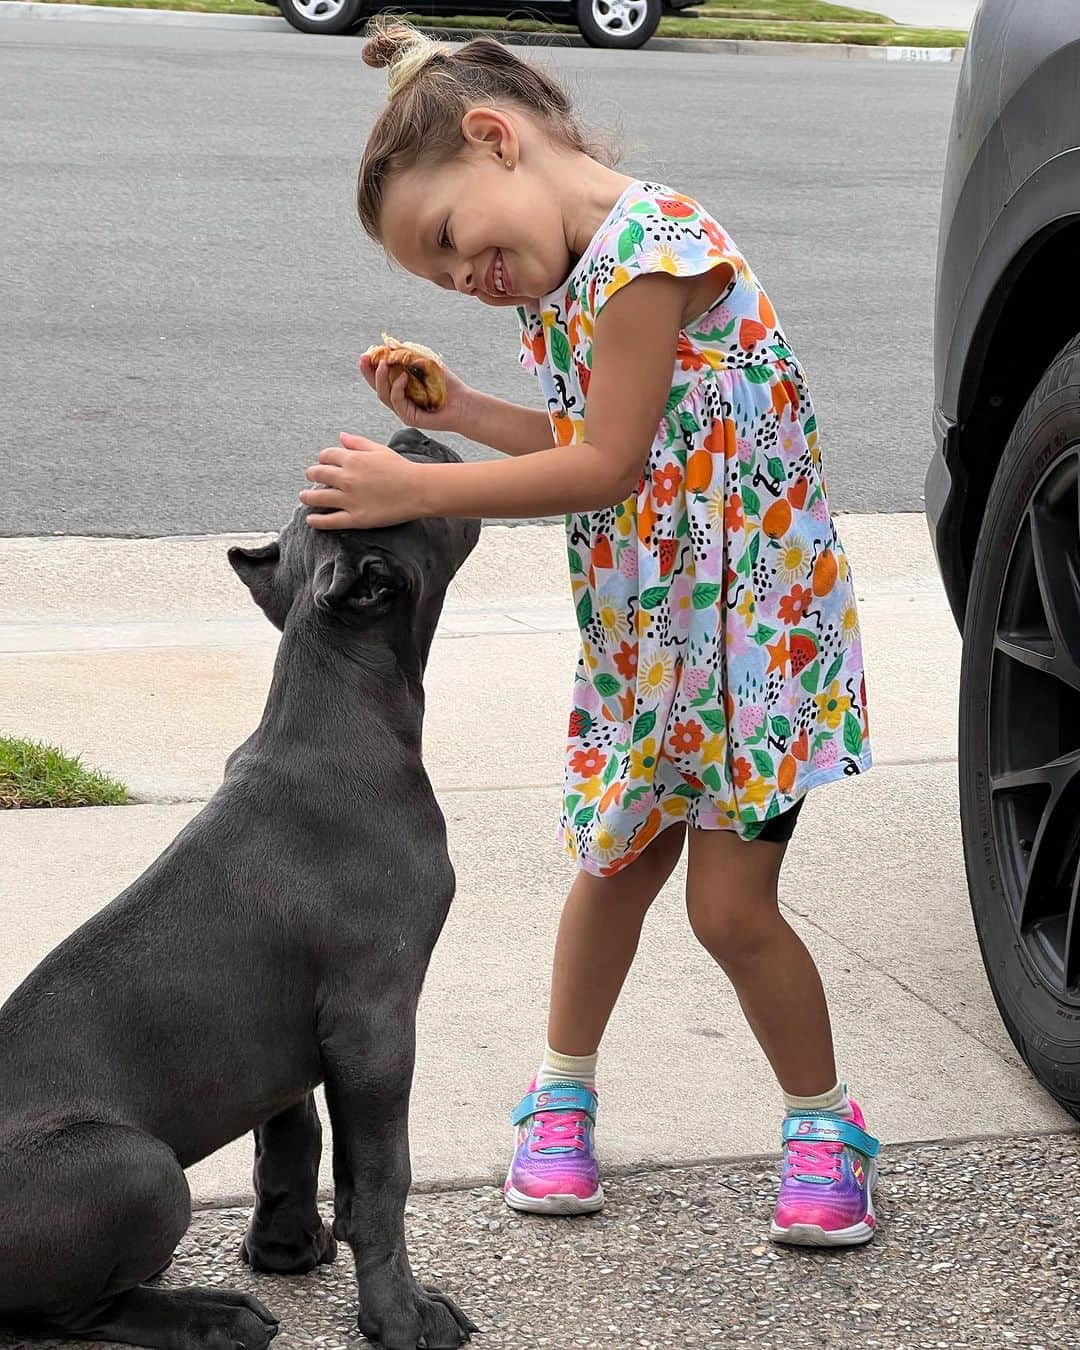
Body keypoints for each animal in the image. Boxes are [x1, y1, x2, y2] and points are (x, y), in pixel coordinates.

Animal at [0, 429, 480, 1350]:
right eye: (409, 472)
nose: (408, 433)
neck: (338, 706)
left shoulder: (296, 1030)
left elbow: (291, 1130)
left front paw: (286, 1248)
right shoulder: (375, 1019)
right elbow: (382, 1182)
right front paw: (400, 1315)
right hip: (140, 1168)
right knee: (77, 1312)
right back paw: (205, 1315)